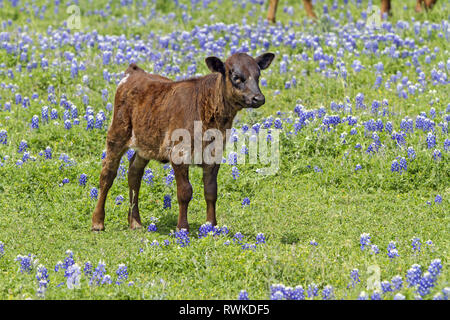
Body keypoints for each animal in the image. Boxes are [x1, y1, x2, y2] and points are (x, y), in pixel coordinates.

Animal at [91, 52, 274, 232]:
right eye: (236, 77)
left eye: (258, 75)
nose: (258, 98)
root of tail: (135, 72)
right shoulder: (178, 153)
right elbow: (185, 192)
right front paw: (182, 227)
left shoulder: (214, 154)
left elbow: (211, 191)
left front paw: (212, 226)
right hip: (117, 134)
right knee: (107, 174)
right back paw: (98, 222)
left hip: (145, 143)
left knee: (134, 173)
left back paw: (135, 222)